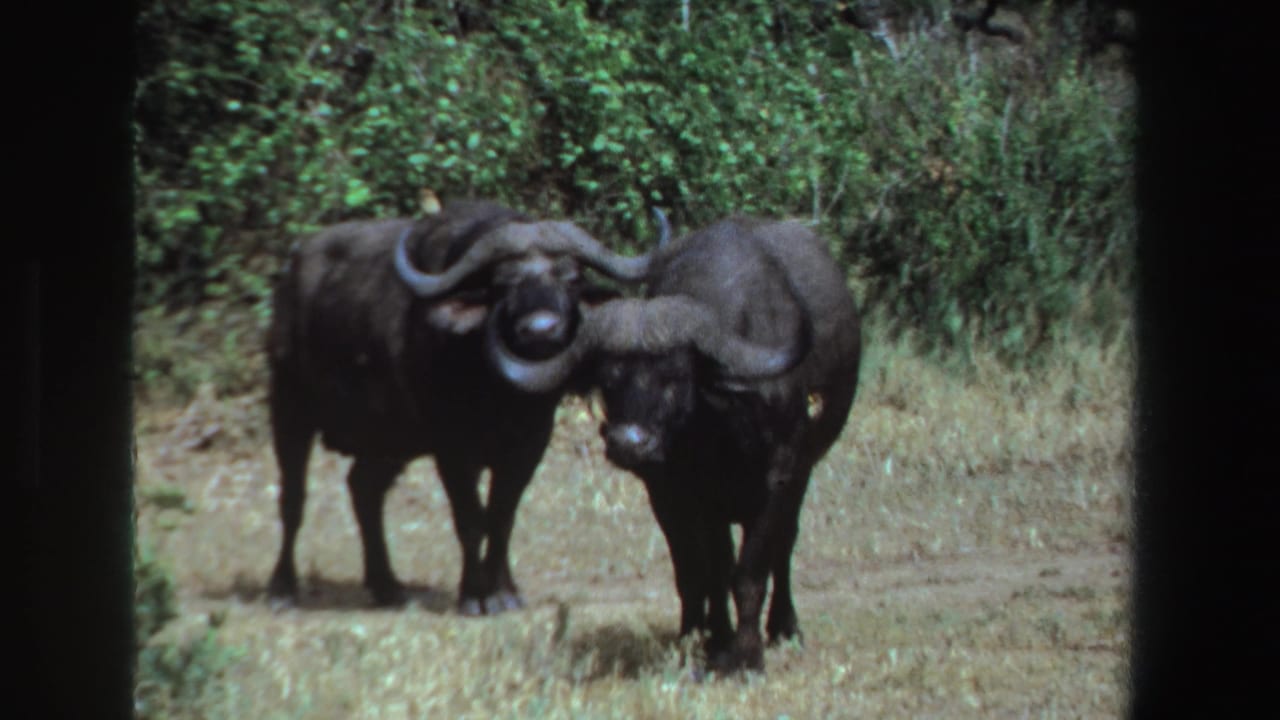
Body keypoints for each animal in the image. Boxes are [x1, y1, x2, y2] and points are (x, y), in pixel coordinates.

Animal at [266, 200, 657, 613]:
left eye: (570, 278)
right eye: (503, 284)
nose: (541, 330)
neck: (500, 393)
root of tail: (292, 270)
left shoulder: (529, 445)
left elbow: (502, 517)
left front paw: (503, 592)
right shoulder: (452, 449)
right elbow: (471, 519)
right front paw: (473, 595)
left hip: (391, 439)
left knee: (364, 488)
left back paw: (387, 586)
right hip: (288, 406)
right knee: (293, 498)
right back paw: (282, 588)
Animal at [490, 216, 861, 671]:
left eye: (675, 377)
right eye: (608, 379)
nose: (628, 443)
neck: (722, 429)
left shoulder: (780, 477)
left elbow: (751, 571)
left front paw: (748, 656)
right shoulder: (680, 493)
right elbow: (705, 571)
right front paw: (713, 643)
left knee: (784, 545)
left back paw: (784, 627)